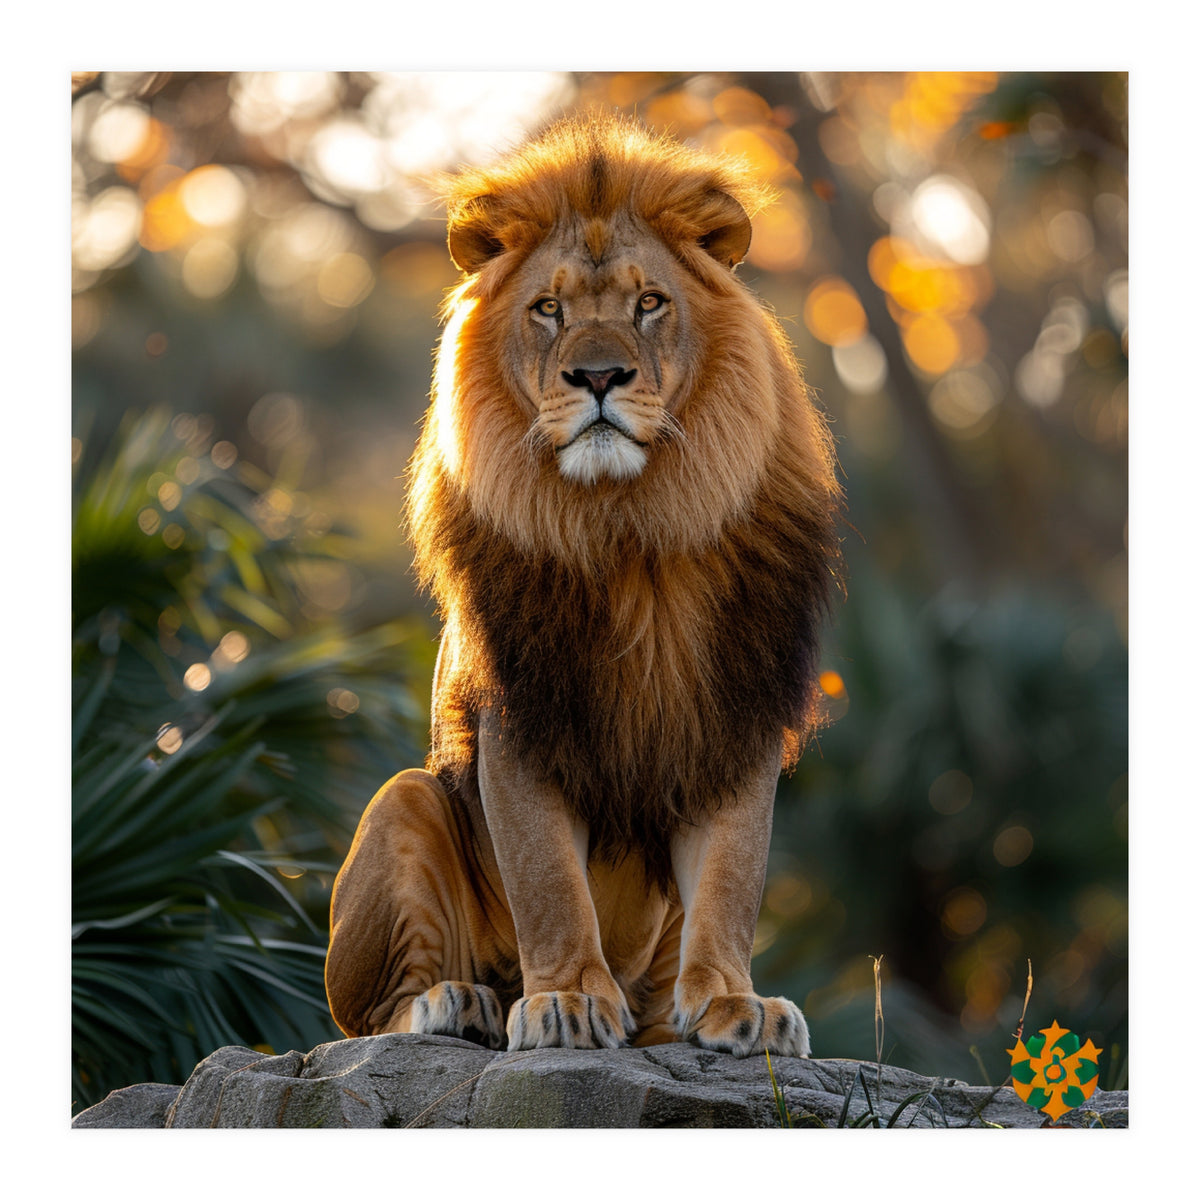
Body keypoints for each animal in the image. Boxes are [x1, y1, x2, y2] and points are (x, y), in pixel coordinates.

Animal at [325, 115, 842, 1058]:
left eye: (649, 303)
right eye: (549, 309)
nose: (598, 377)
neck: (631, 530)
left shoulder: (735, 715)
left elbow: (731, 878)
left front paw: (734, 1004)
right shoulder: (520, 717)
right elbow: (549, 882)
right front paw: (563, 999)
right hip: (404, 800)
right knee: (368, 1018)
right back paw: (460, 1003)